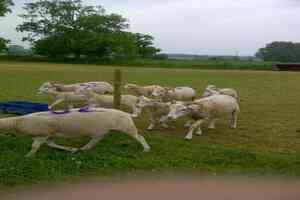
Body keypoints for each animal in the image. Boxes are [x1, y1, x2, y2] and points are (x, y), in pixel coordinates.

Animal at [0, 108, 150, 156]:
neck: (17, 121)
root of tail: (127, 114)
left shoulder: (42, 134)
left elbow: (34, 147)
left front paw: (28, 157)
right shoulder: (48, 135)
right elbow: (51, 144)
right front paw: (71, 149)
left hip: (127, 127)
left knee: (140, 137)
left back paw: (146, 149)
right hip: (102, 131)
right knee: (95, 140)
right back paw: (83, 148)